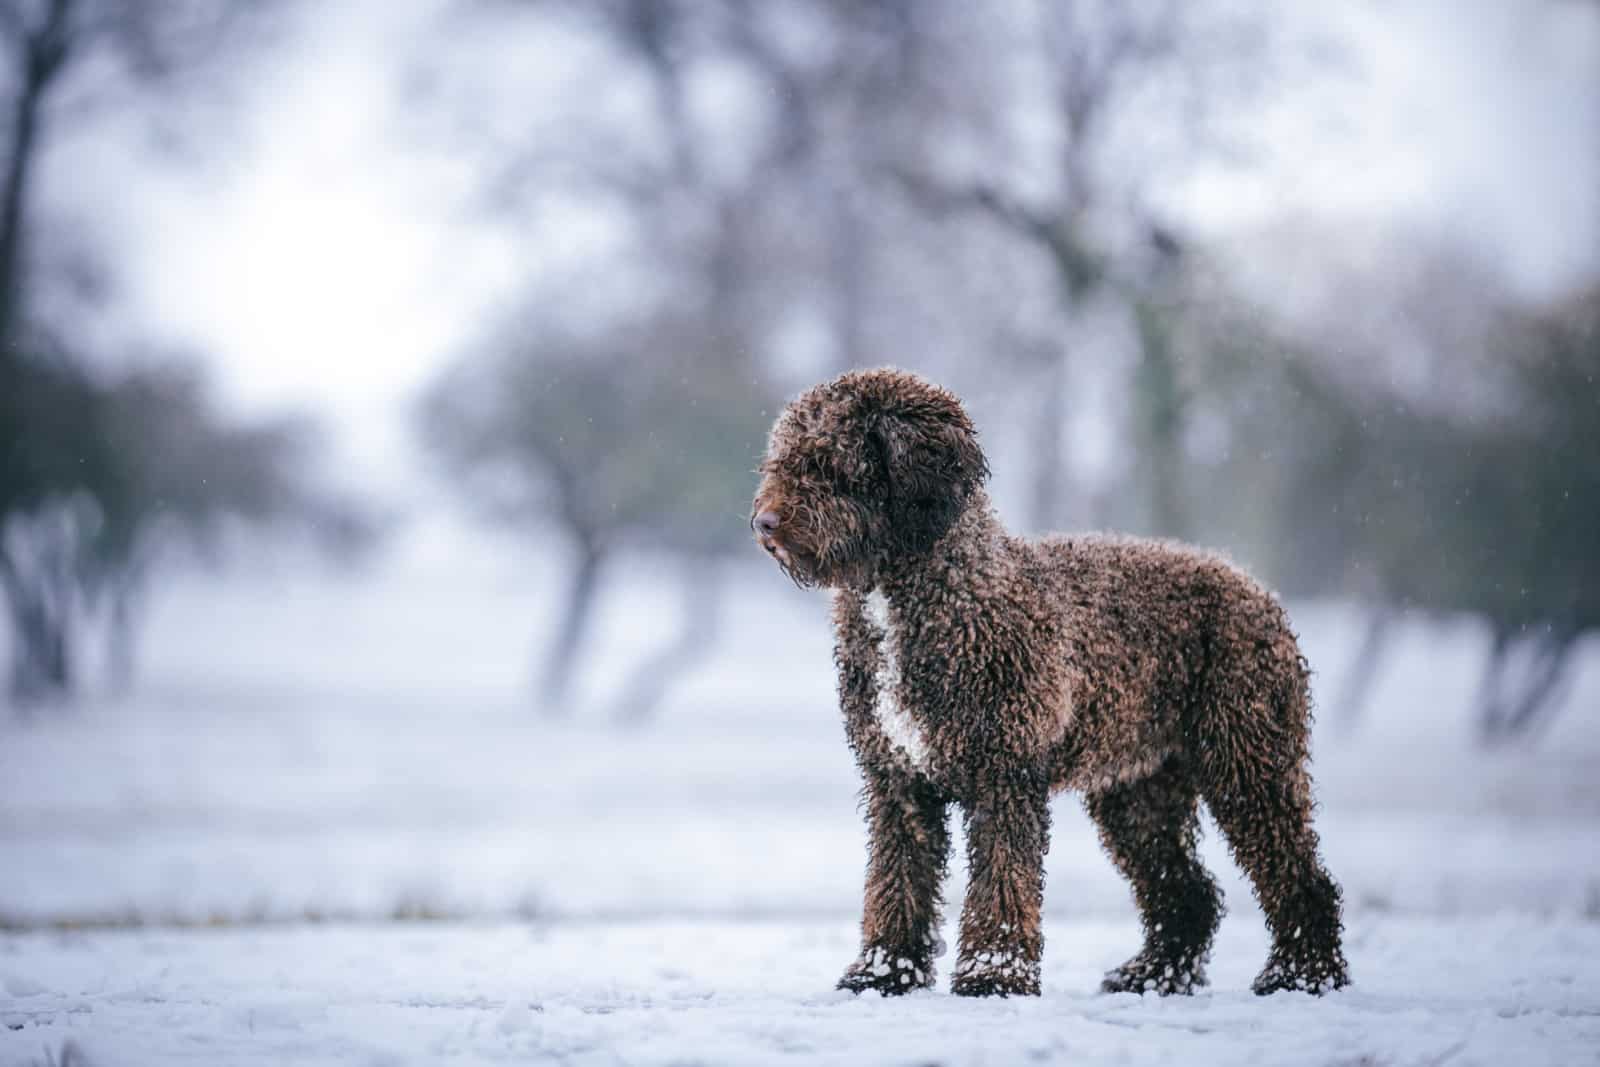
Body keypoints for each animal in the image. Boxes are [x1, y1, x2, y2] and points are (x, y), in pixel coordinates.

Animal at [748, 369, 1350, 1004]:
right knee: (1189, 893)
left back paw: (1302, 973)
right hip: (1139, 791)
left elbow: (1002, 880)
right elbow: (897, 880)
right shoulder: (898, 780)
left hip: (1248, 761)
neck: (937, 594)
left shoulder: (1004, 774)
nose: (764, 523)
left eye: (829, 463)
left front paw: (992, 974)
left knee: (1300, 877)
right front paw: (885, 973)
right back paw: (1154, 975)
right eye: (782, 461)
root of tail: (1255, 587)